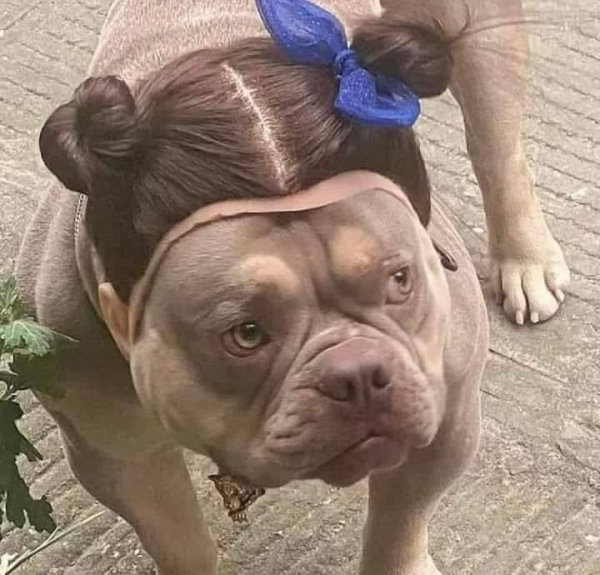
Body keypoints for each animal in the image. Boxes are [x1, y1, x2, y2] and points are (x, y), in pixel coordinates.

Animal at [12, 1, 568, 575]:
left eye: (400, 281)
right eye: (246, 334)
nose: (358, 372)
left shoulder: (447, 418)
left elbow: (399, 525)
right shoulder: (118, 454)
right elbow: (182, 543)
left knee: (494, 143)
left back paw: (526, 259)